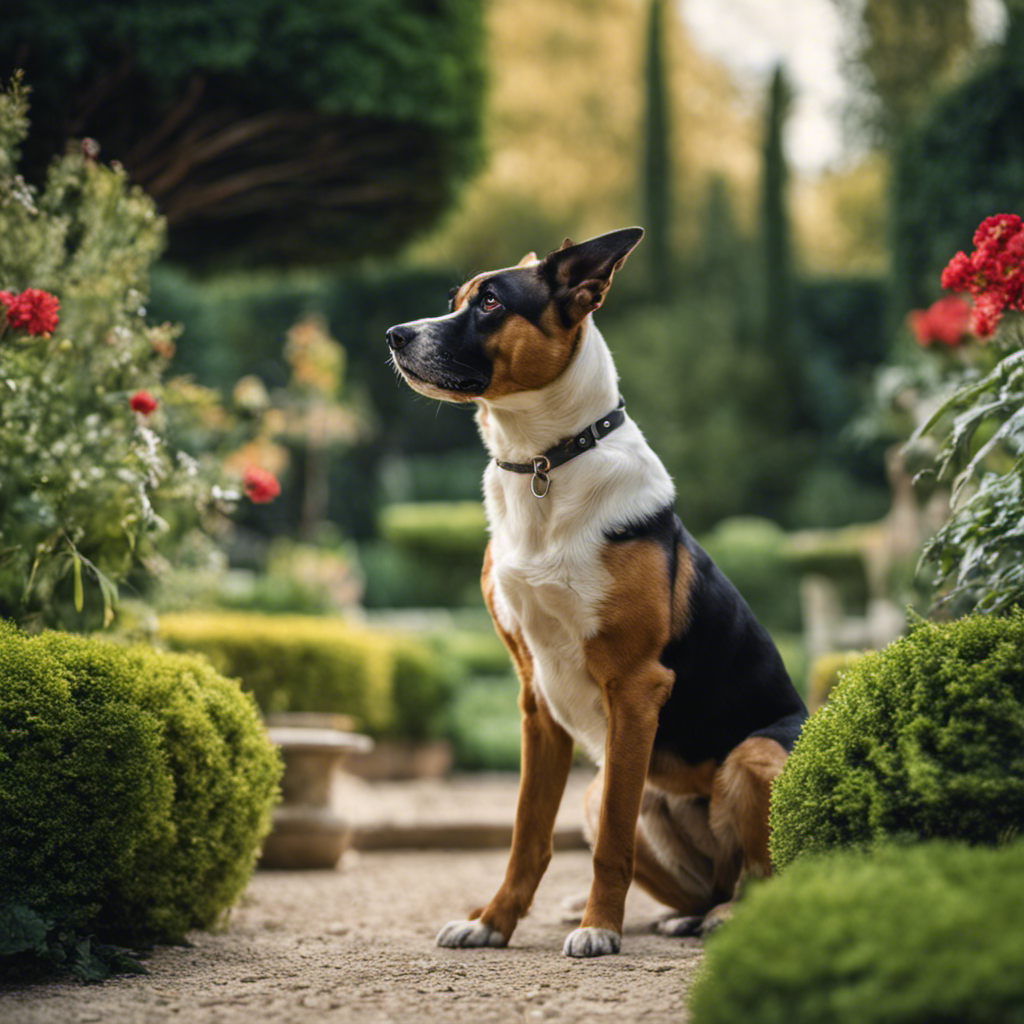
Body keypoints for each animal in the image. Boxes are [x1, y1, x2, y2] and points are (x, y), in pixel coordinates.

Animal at [385, 228, 806, 954]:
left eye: (491, 303)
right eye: (456, 298)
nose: (394, 334)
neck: (545, 462)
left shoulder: (635, 688)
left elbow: (612, 838)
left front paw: (599, 928)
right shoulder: (535, 697)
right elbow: (527, 835)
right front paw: (493, 922)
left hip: (752, 756)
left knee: (760, 878)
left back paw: (721, 917)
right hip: (610, 789)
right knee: (712, 883)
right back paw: (687, 914)